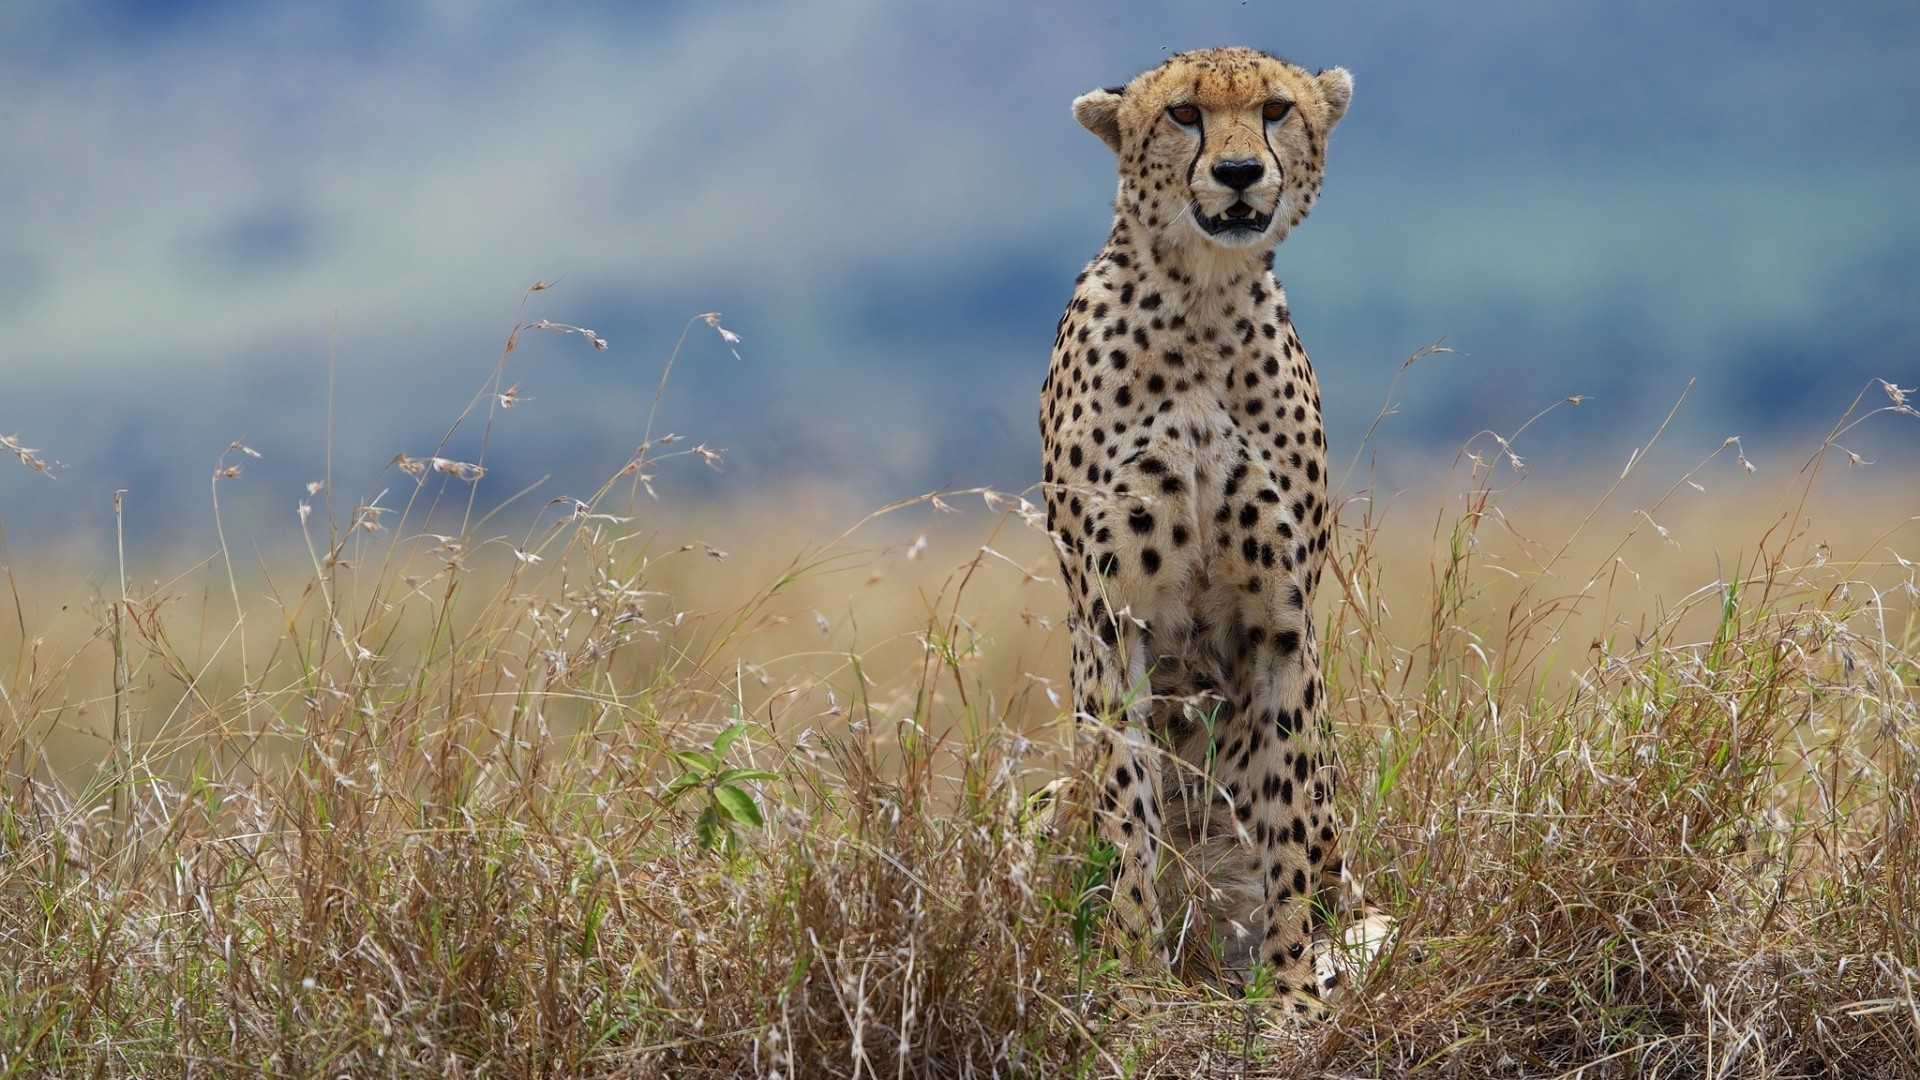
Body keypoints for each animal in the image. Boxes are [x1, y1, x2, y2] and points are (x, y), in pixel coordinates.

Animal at [1052, 48, 1367, 1006]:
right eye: (1185, 114)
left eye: (1275, 109)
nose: (1235, 172)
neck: (1201, 301)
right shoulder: (1112, 619)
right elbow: (1125, 811)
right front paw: (1130, 972)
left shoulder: (1280, 621)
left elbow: (1285, 819)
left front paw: (1293, 988)